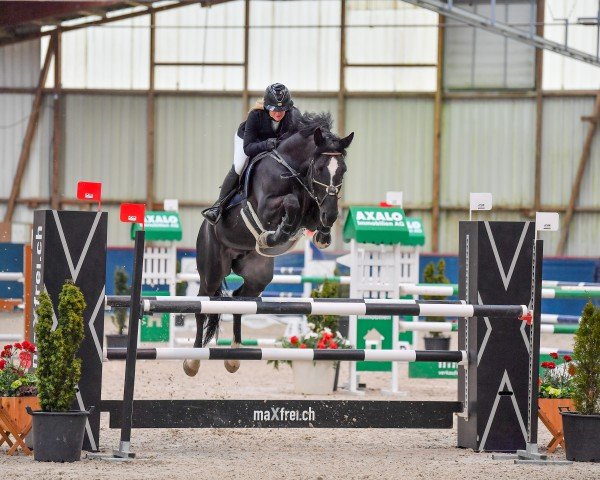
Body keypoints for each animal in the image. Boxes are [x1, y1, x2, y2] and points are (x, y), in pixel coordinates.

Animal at [183, 112, 352, 376]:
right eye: (320, 168)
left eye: (342, 170)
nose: (332, 214)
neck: (292, 169)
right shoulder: (266, 208)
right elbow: (291, 202)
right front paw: (276, 235)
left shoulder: (311, 211)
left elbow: (310, 212)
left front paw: (323, 235)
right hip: (212, 270)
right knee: (203, 303)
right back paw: (192, 361)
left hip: (257, 275)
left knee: (240, 299)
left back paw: (234, 356)